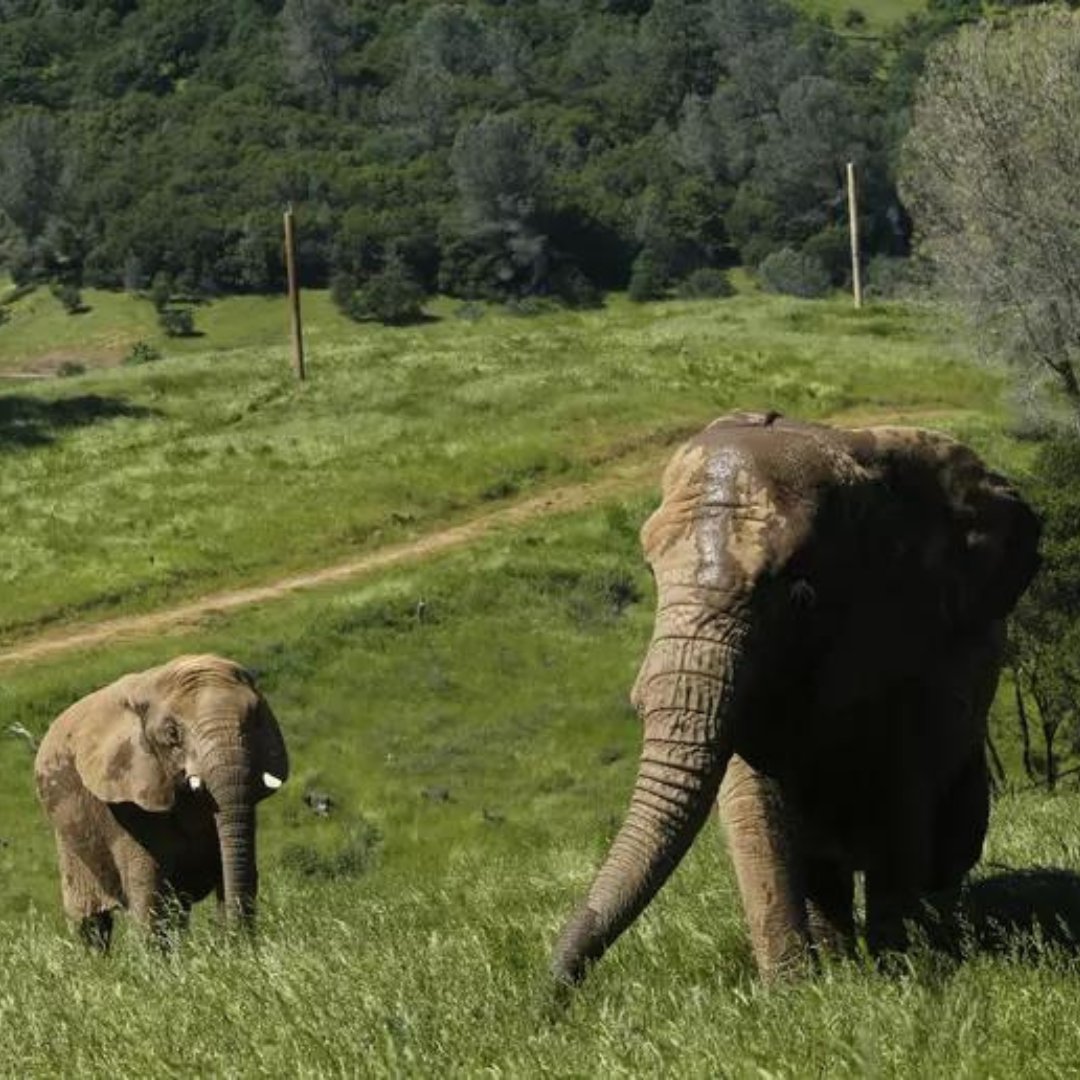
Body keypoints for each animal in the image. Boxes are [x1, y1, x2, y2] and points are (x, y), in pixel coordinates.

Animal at [35, 654, 288, 948]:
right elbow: (149, 897)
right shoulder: (129, 800)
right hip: (68, 840)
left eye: (255, 717)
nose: (235, 943)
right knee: (91, 923)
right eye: (172, 734)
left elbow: (234, 869)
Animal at [552, 412, 1041, 985]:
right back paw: (841, 964)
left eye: (800, 592)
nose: (551, 994)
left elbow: (902, 796)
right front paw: (797, 991)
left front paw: (901, 973)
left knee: (952, 839)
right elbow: (754, 807)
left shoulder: (917, 645)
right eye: (651, 573)